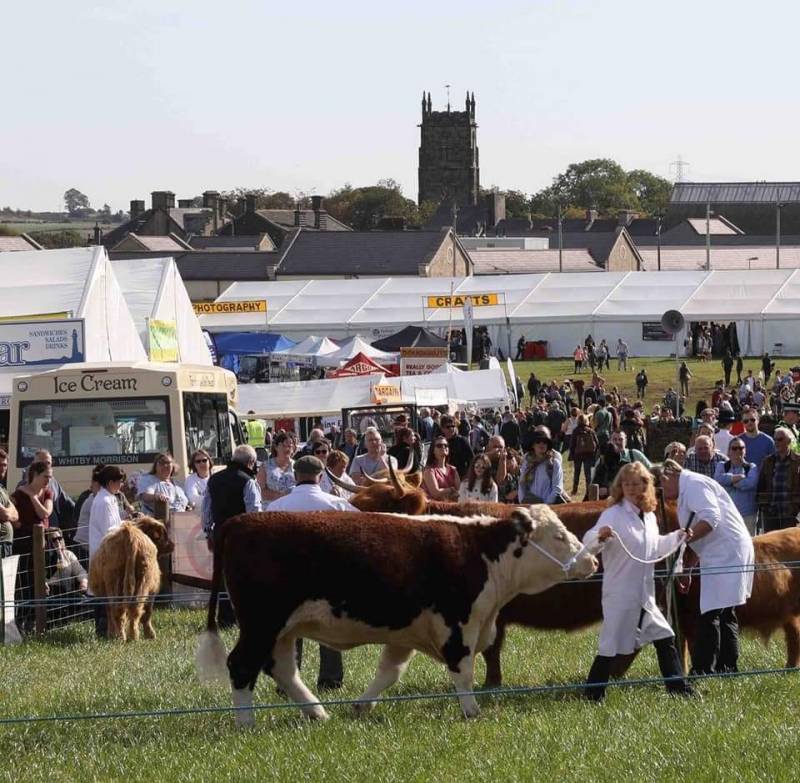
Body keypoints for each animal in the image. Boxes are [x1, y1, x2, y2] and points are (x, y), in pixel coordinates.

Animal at [197, 506, 596, 724]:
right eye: (559, 536)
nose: (591, 560)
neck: (478, 552)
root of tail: (240, 521)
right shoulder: (457, 625)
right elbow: (463, 671)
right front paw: (471, 711)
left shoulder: (408, 631)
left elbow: (389, 672)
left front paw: (362, 706)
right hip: (262, 623)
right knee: (242, 665)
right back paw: (246, 722)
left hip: (283, 629)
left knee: (281, 669)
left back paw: (318, 713)